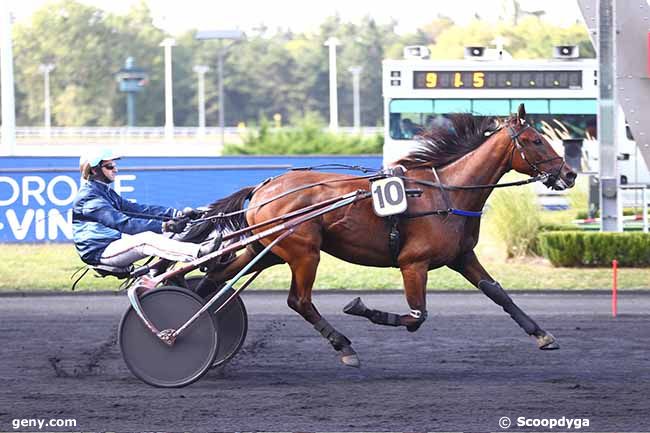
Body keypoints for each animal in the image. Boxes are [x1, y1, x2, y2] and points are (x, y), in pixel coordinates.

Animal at [201, 104, 572, 364]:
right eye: (536, 140)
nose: (569, 174)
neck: (446, 193)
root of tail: (262, 188)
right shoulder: (413, 263)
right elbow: (416, 317)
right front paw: (362, 307)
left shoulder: (462, 256)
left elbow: (497, 292)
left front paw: (542, 334)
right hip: (304, 252)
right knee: (299, 301)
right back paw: (343, 346)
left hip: (268, 250)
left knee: (215, 278)